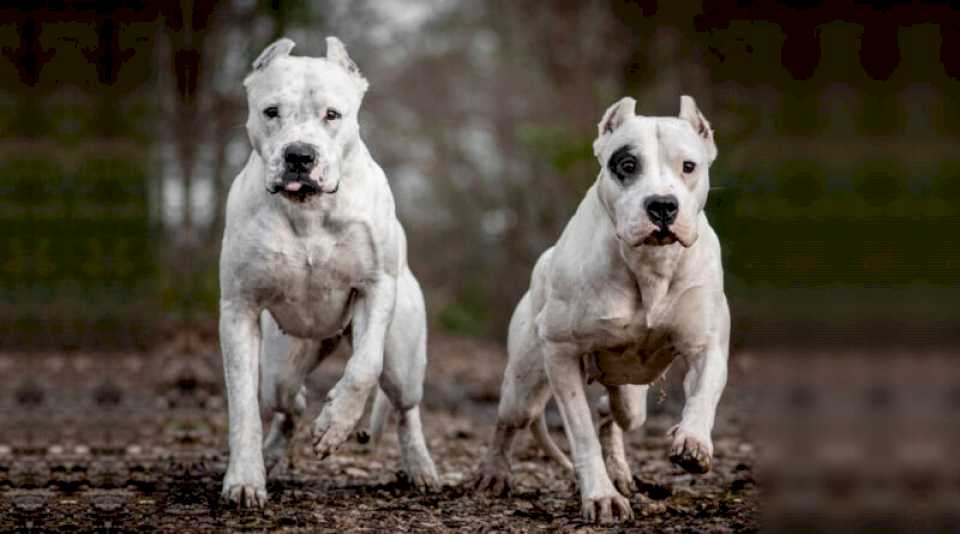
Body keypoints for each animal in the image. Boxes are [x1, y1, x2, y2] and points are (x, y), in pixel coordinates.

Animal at [218, 38, 438, 510]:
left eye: (332, 115)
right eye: (271, 111)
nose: (300, 155)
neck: (310, 211)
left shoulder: (375, 288)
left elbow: (364, 367)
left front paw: (336, 423)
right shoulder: (239, 309)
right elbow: (242, 403)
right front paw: (244, 478)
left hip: (404, 362)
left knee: (405, 407)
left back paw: (420, 467)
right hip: (282, 362)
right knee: (288, 403)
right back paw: (272, 453)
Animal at [472, 96, 728, 528]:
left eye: (689, 166)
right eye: (626, 165)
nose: (662, 205)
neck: (648, 266)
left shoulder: (707, 343)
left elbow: (704, 392)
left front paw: (692, 441)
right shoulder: (561, 353)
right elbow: (581, 435)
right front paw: (601, 497)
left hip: (633, 396)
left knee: (616, 413)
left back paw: (621, 469)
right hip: (523, 385)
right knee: (510, 421)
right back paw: (495, 474)